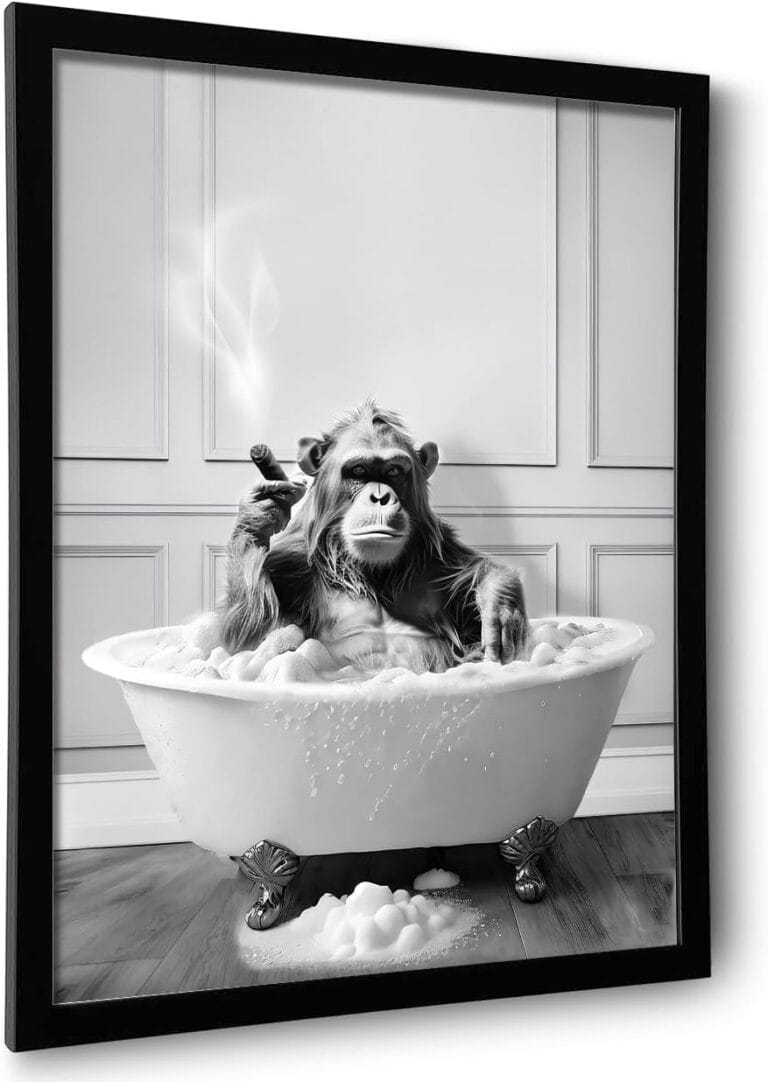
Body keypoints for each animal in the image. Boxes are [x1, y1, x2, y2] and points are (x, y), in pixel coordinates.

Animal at [222, 401, 528, 673]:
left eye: (393, 471)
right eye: (359, 470)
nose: (380, 497)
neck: (372, 574)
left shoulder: (442, 556)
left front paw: (499, 604)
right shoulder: (287, 566)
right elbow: (242, 642)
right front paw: (258, 515)